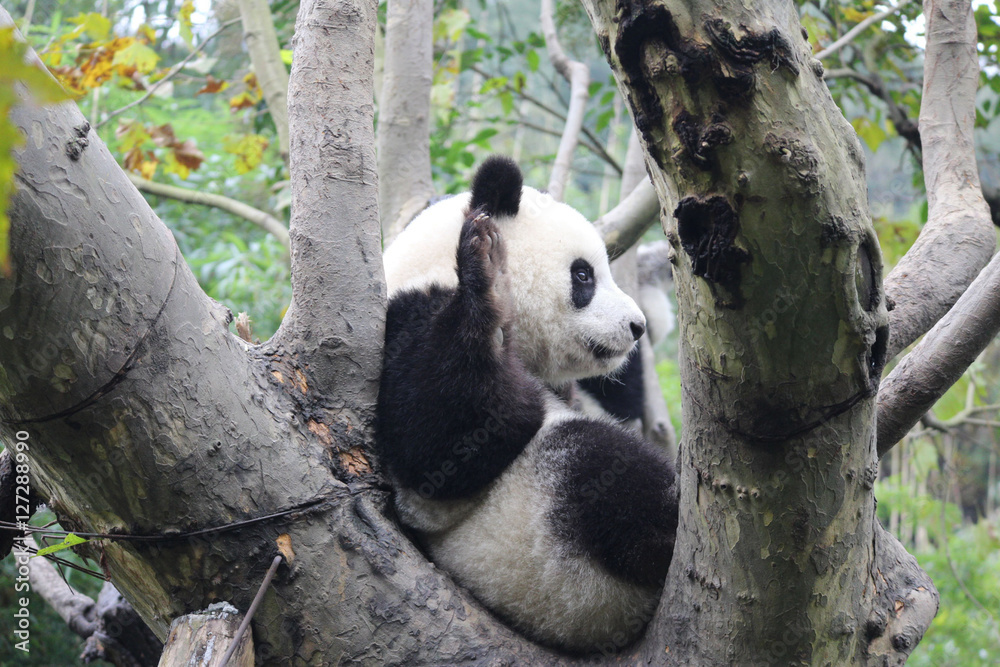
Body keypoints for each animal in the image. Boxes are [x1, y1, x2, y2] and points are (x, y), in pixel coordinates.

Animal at [377, 156, 678, 653]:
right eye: (583, 275)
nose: (635, 326)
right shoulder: (405, 322)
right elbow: (440, 449)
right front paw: (486, 277)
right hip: (545, 562)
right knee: (607, 476)